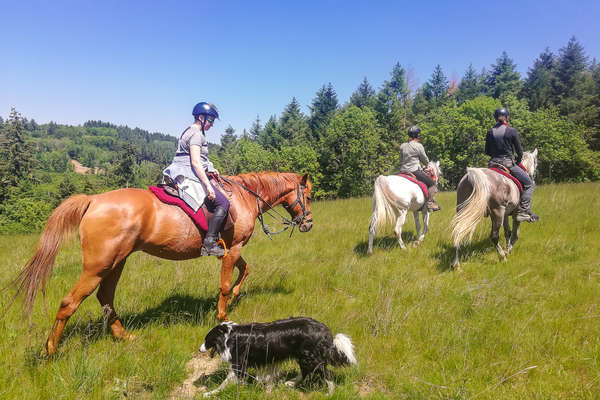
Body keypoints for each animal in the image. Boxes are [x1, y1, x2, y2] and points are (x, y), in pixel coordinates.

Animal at [11, 171, 312, 354]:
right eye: (308, 195)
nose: (308, 224)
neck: (243, 197)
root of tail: (94, 201)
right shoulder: (233, 248)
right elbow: (226, 285)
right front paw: (222, 316)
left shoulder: (231, 251)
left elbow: (245, 270)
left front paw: (236, 296)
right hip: (98, 266)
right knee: (70, 303)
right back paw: (50, 351)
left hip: (116, 263)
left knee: (106, 298)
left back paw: (123, 337)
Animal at [199, 318, 356, 396]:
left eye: (206, 340)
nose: (199, 349)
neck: (230, 335)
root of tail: (327, 332)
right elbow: (267, 378)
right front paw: (268, 389)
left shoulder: (239, 364)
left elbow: (225, 382)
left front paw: (211, 393)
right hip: (303, 356)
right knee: (305, 371)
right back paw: (290, 383)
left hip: (310, 357)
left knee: (326, 374)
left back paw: (330, 393)